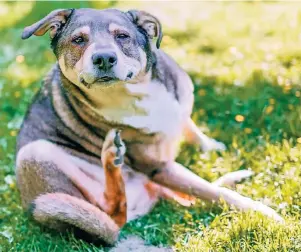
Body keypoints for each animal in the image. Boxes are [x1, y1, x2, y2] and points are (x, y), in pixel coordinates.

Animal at [16, 7, 282, 246]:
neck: (136, 94)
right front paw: (261, 212)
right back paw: (110, 156)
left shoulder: (179, 110)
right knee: (113, 216)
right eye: (78, 40)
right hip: (36, 155)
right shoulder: (158, 167)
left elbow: (190, 128)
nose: (104, 58)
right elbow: (217, 194)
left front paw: (210, 146)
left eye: (122, 36)